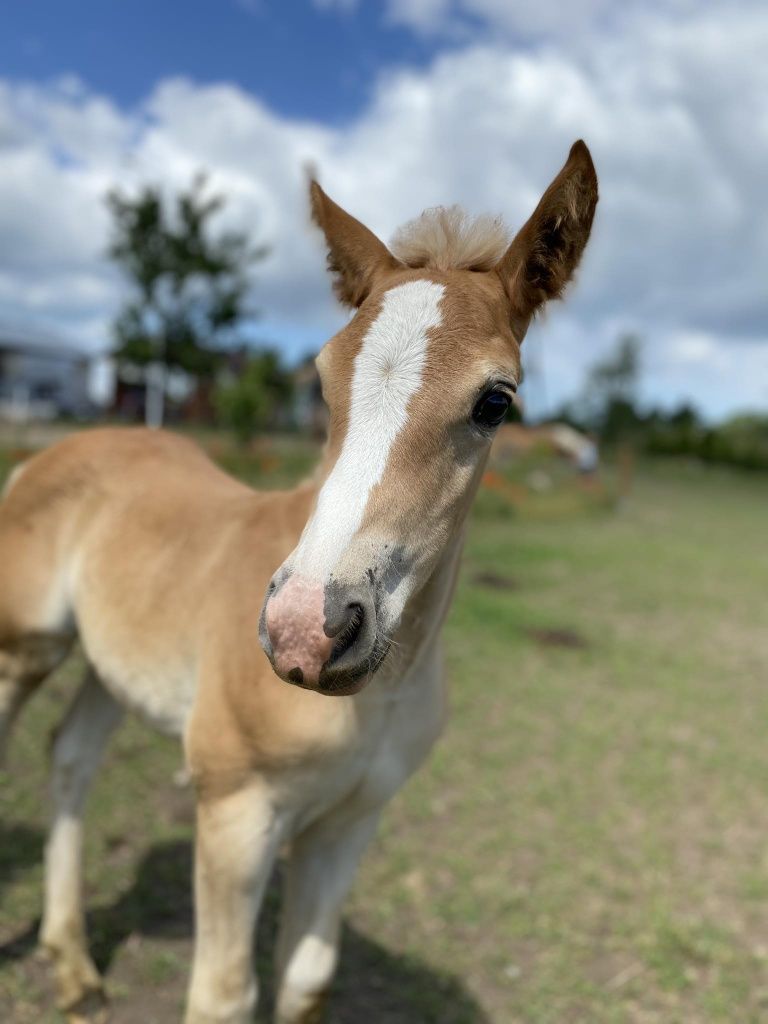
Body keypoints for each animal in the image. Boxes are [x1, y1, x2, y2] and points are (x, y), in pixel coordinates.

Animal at [0, 140, 602, 1019]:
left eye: (496, 401)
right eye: (322, 382)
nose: (304, 633)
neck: (379, 693)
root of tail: (48, 453)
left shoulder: (350, 821)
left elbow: (307, 977)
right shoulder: (236, 813)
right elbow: (225, 993)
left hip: (112, 667)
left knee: (70, 757)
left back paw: (73, 962)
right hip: (27, 646)